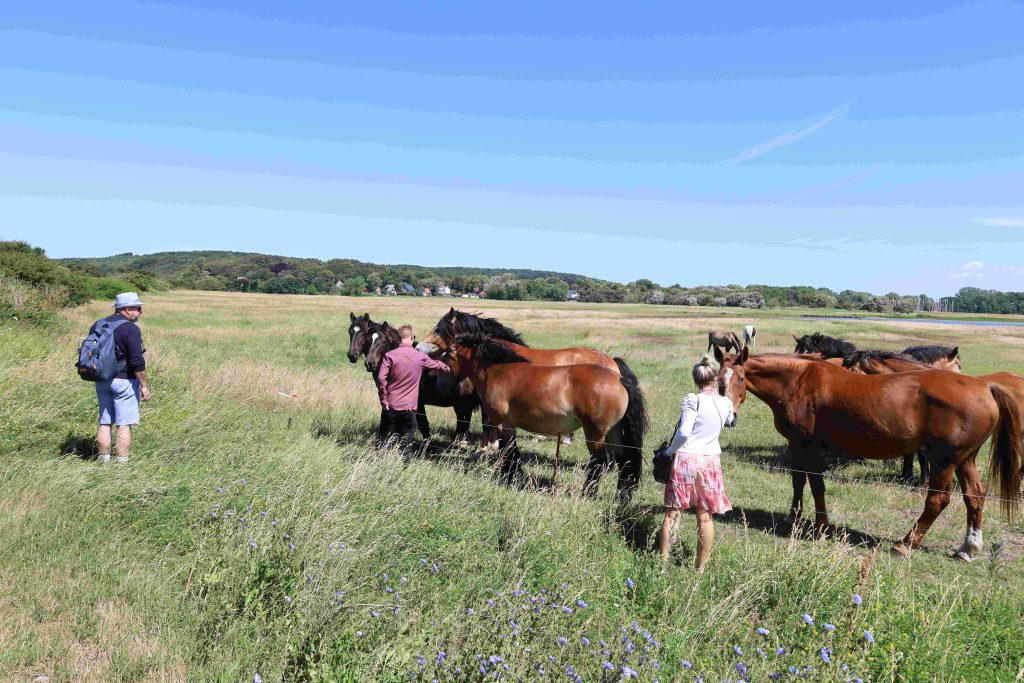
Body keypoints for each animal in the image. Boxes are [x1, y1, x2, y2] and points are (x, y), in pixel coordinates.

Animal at [442, 331, 647, 501]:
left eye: (448, 355)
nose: (448, 385)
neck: (499, 371)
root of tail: (619, 379)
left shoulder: (502, 423)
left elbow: (509, 451)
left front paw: (511, 478)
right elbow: (511, 451)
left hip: (595, 434)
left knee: (600, 461)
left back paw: (587, 492)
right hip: (614, 432)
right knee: (623, 460)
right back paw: (621, 496)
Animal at [716, 350, 1019, 565]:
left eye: (740, 379)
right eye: (718, 381)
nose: (728, 418)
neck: (797, 381)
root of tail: (984, 387)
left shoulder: (808, 445)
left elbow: (816, 484)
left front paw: (820, 526)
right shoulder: (797, 445)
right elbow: (798, 481)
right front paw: (793, 517)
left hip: (945, 460)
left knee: (938, 500)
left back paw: (905, 544)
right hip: (964, 459)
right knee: (975, 496)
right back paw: (968, 547)